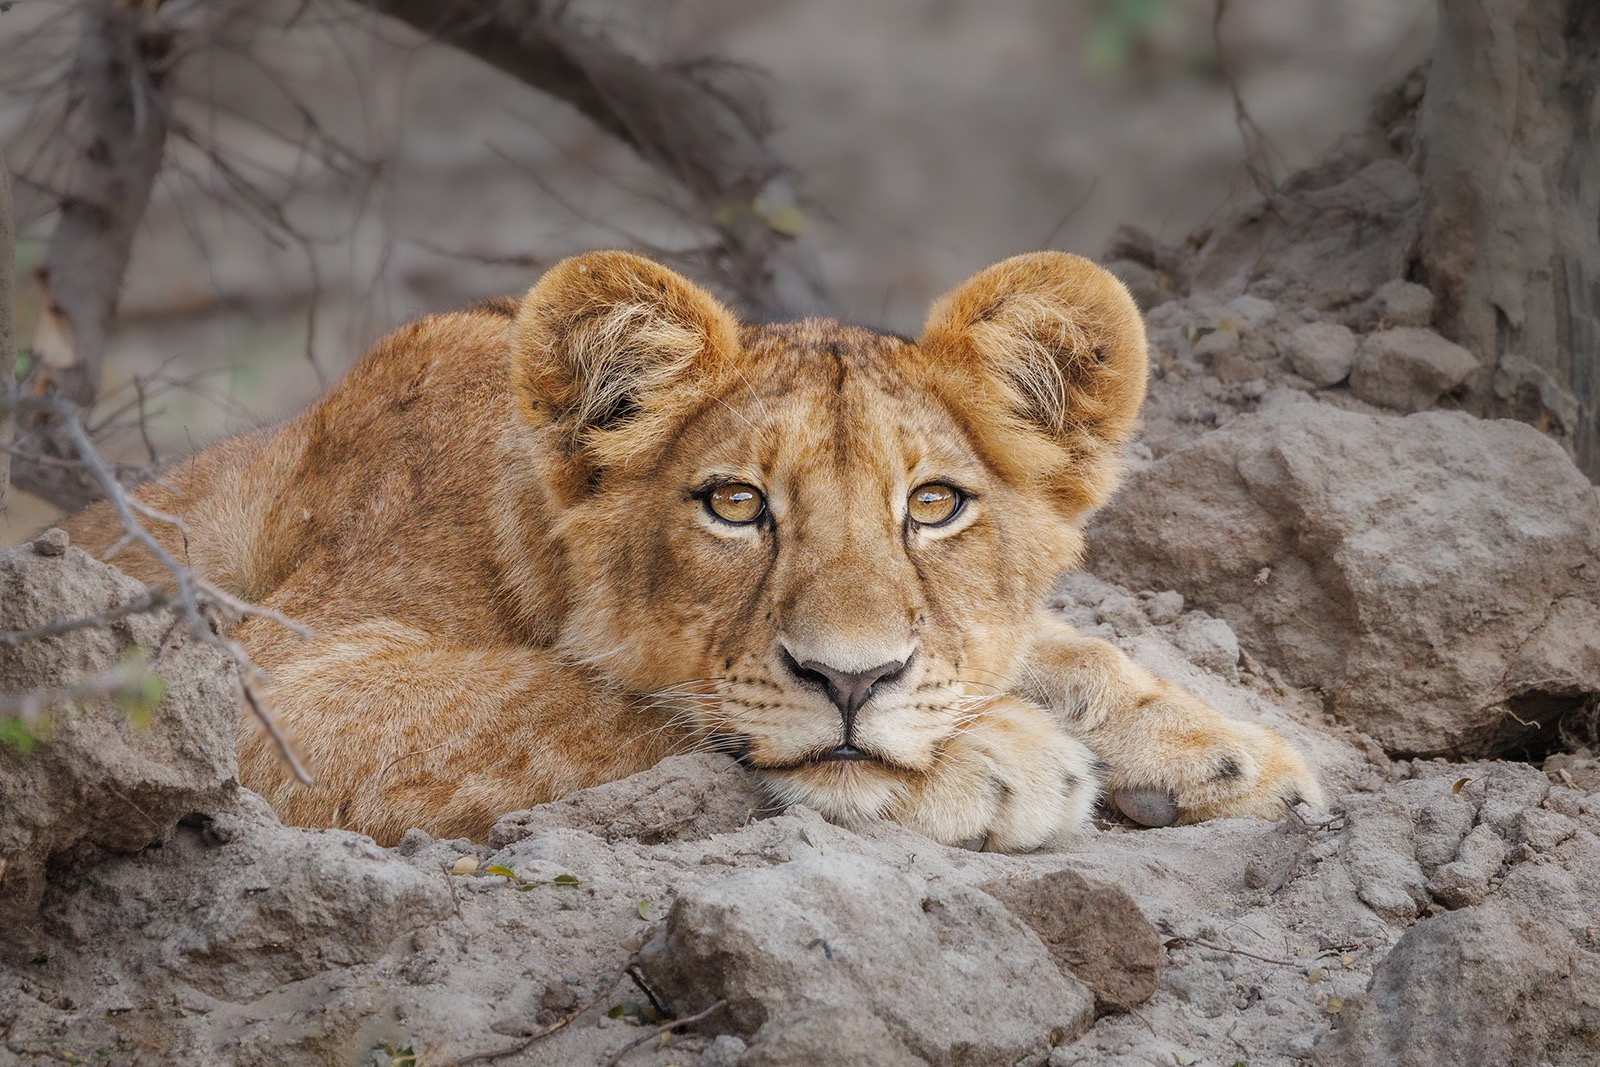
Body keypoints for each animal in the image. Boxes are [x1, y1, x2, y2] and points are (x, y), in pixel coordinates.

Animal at [63, 250, 1323, 850]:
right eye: (733, 504)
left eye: (932, 504)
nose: (853, 678)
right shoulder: (278, 690)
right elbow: (570, 695)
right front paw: (998, 755)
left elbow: (1060, 647)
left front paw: (1224, 749)